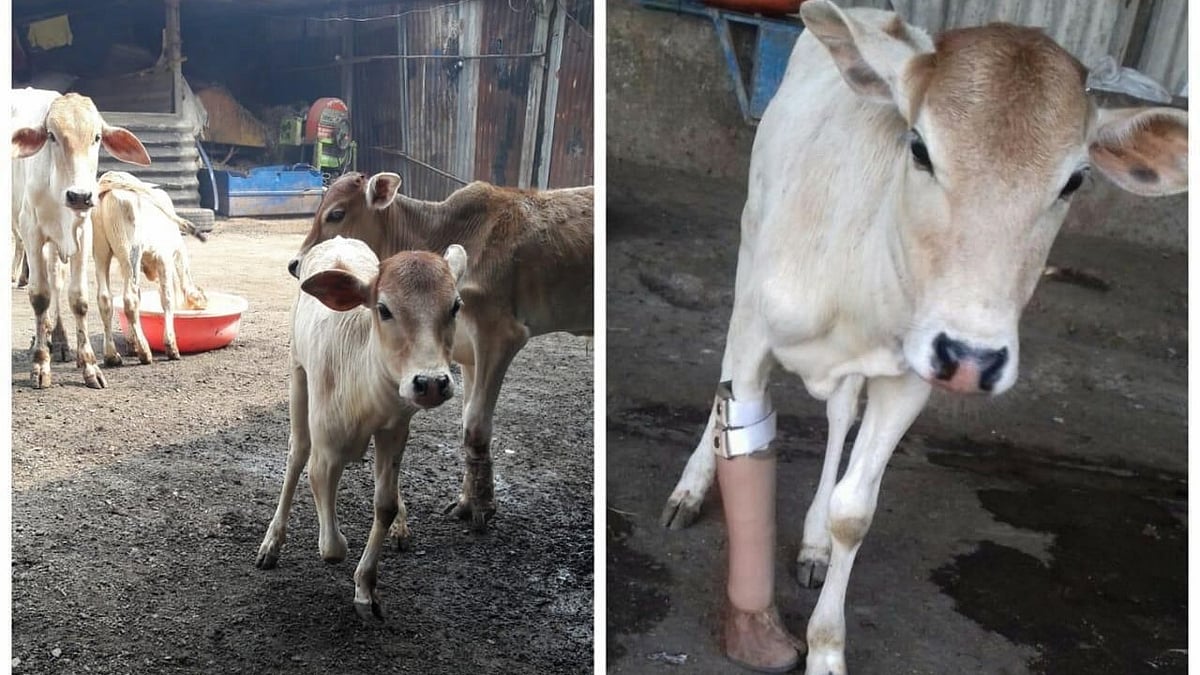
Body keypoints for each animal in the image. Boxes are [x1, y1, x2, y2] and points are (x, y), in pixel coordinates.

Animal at [11, 89, 151, 389]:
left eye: (96, 137)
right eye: (51, 135)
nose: (79, 196)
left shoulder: (82, 233)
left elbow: (78, 298)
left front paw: (88, 364)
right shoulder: (31, 231)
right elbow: (39, 296)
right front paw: (40, 364)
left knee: (56, 279)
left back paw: (60, 341)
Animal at [91, 170, 209, 365]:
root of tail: (110, 179)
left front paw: (132, 344)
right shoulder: (164, 259)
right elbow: (167, 299)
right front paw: (171, 347)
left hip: (101, 252)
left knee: (105, 299)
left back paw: (112, 356)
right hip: (130, 250)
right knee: (130, 300)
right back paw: (145, 352)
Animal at [256, 235, 468, 619]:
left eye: (455, 305)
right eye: (383, 309)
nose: (431, 382)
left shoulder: (395, 429)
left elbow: (384, 503)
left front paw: (366, 588)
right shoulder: (325, 449)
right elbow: (332, 548)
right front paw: (338, 550)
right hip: (297, 372)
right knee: (296, 453)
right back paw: (271, 542)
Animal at [290, 173, 593, 532]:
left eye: (336, 213)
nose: (295, 265)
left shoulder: (500, 334)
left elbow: (475, 426)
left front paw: (481, 507)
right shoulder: (468, 354)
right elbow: (466, 425)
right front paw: (468, 501)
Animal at [656, 3, 1188, 673]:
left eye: (1074, 181)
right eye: (919, 148)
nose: (973, 358)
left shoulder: (911, 376)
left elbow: (855, 512)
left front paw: (826, 646)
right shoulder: (758, 329)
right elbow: (741, 426)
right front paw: (751, 620)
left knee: (840, 414)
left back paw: (812, 542)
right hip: (750, 242)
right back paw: (690, 487)